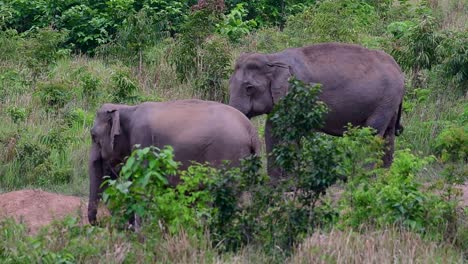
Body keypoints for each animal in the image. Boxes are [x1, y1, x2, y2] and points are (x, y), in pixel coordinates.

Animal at [87, 100, 260, 224]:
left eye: (93, 136)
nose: (98, 222)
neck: (127, 108)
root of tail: (251, 130)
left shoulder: (143, 142)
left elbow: (142, 187)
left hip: (229, 156)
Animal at [229, 42, 404, 182]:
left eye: (249, 87)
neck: (273, 58)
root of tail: (399, 69)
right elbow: (272, 130)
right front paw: (275, 182)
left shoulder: (297, 93)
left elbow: (288, 132)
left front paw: (291, 180)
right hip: (389, 103)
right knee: (388, 135)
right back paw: (385, 175)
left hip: (384, 101)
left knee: (373, 133)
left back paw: (366, 176)